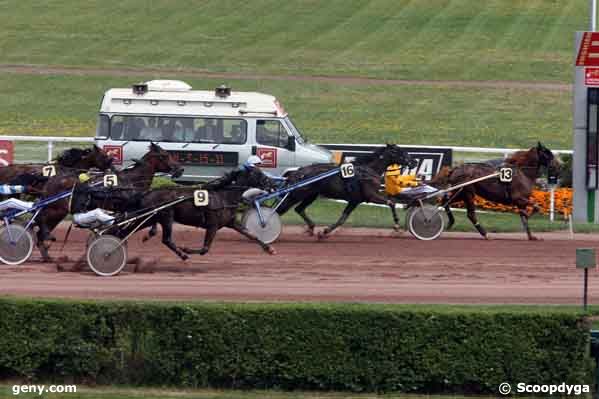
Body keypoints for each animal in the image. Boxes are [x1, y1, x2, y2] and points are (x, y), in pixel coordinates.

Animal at [35, 142, 183, 260]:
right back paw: (47, 241)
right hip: (56, 209)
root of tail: (51, 180)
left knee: (40, 227)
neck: (132, 181)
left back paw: (46, 253)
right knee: (40, 220)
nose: (180, 169)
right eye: (165, 155)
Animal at [274, 144, 414, 238]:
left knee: (299, 209)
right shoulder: (369, 196)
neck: (367, 171)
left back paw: (311, 227)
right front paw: (397, 225)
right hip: (296, 195)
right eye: (400, 152)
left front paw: (324, 232)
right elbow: (391, 203)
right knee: (280, 210)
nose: (414, 161)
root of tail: (298, 172)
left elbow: (342, 219)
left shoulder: (356, 200)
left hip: (311, 195)